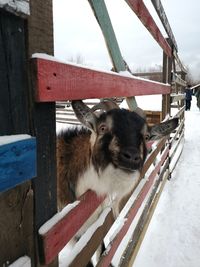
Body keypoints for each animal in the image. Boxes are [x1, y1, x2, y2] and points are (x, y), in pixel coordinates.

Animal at [56, 99, 178, 264]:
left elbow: (100, 248)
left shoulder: (93, 229)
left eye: (146, 137)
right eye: (103, 128)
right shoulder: (74, 233)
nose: (132, 157)